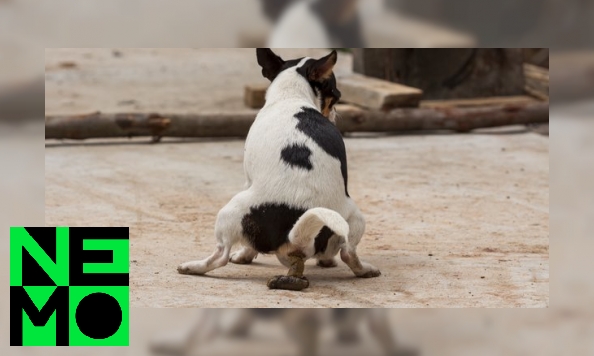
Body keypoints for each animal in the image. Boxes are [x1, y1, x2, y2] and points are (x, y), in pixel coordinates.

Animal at [176, 49, 380, 290]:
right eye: (336, 95)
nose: (334, 114)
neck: (291, 96)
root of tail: (297, 240)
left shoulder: (247, 179)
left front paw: (244, 255)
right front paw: (326, 261)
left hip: (230, 211)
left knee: (221, 255)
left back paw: (194, 267)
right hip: (355, 219)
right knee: (348, 251)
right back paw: (364, 269)